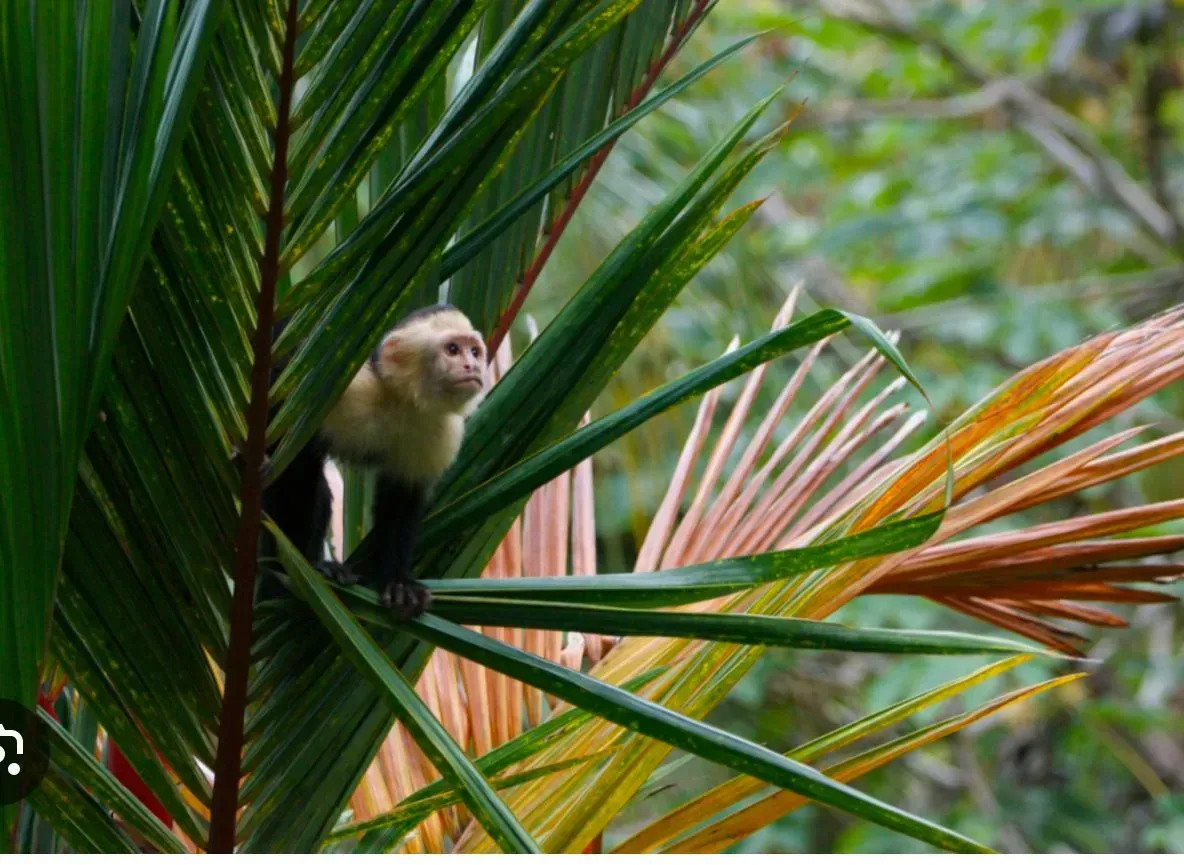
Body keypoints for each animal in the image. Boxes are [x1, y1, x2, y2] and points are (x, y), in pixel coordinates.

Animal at [261, 304, 487, 617]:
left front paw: (398, 583)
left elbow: (402, 498)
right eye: (452, 349)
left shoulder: (438, 431)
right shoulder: (346, 387)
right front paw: (298, 565)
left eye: (474, 351)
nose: (472, 367)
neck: (401, 400)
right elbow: (297, 460)